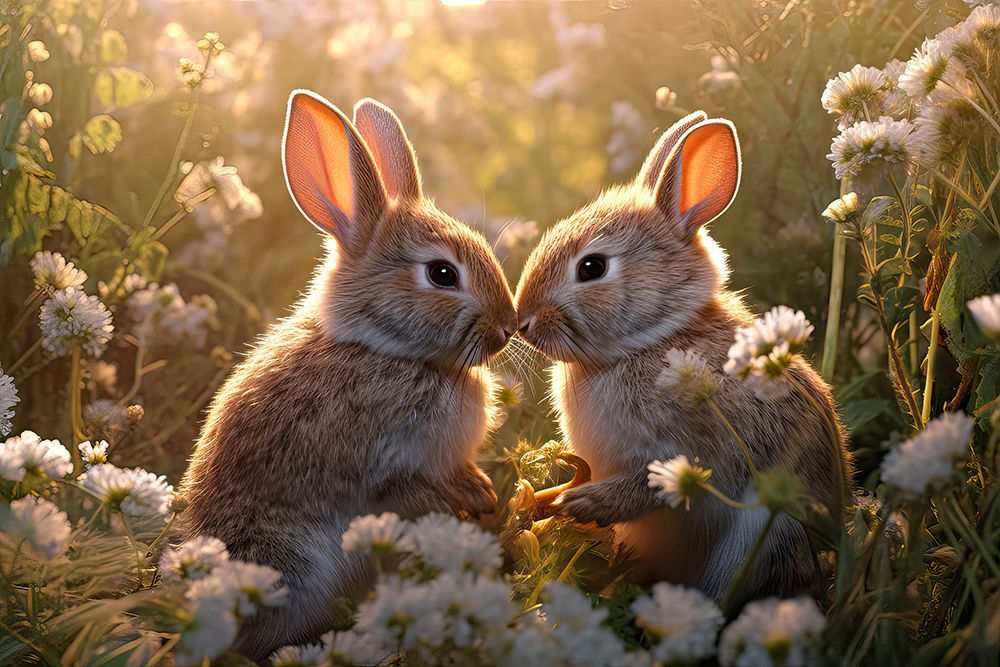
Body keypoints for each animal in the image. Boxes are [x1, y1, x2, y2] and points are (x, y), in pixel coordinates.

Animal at [178, 90, 517, 659]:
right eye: (442, 274)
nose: (508, 328)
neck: (385, 349)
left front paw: (483, 491)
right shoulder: (379, 468)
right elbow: (406, 491)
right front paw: (467, 503)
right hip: (290, 566)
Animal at [513, 111, 853, 603]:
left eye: (592, 267)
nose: (523, 322)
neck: (649, 341)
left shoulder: (695, 448)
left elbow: (660, 484)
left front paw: (580, 503)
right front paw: (537, 499)